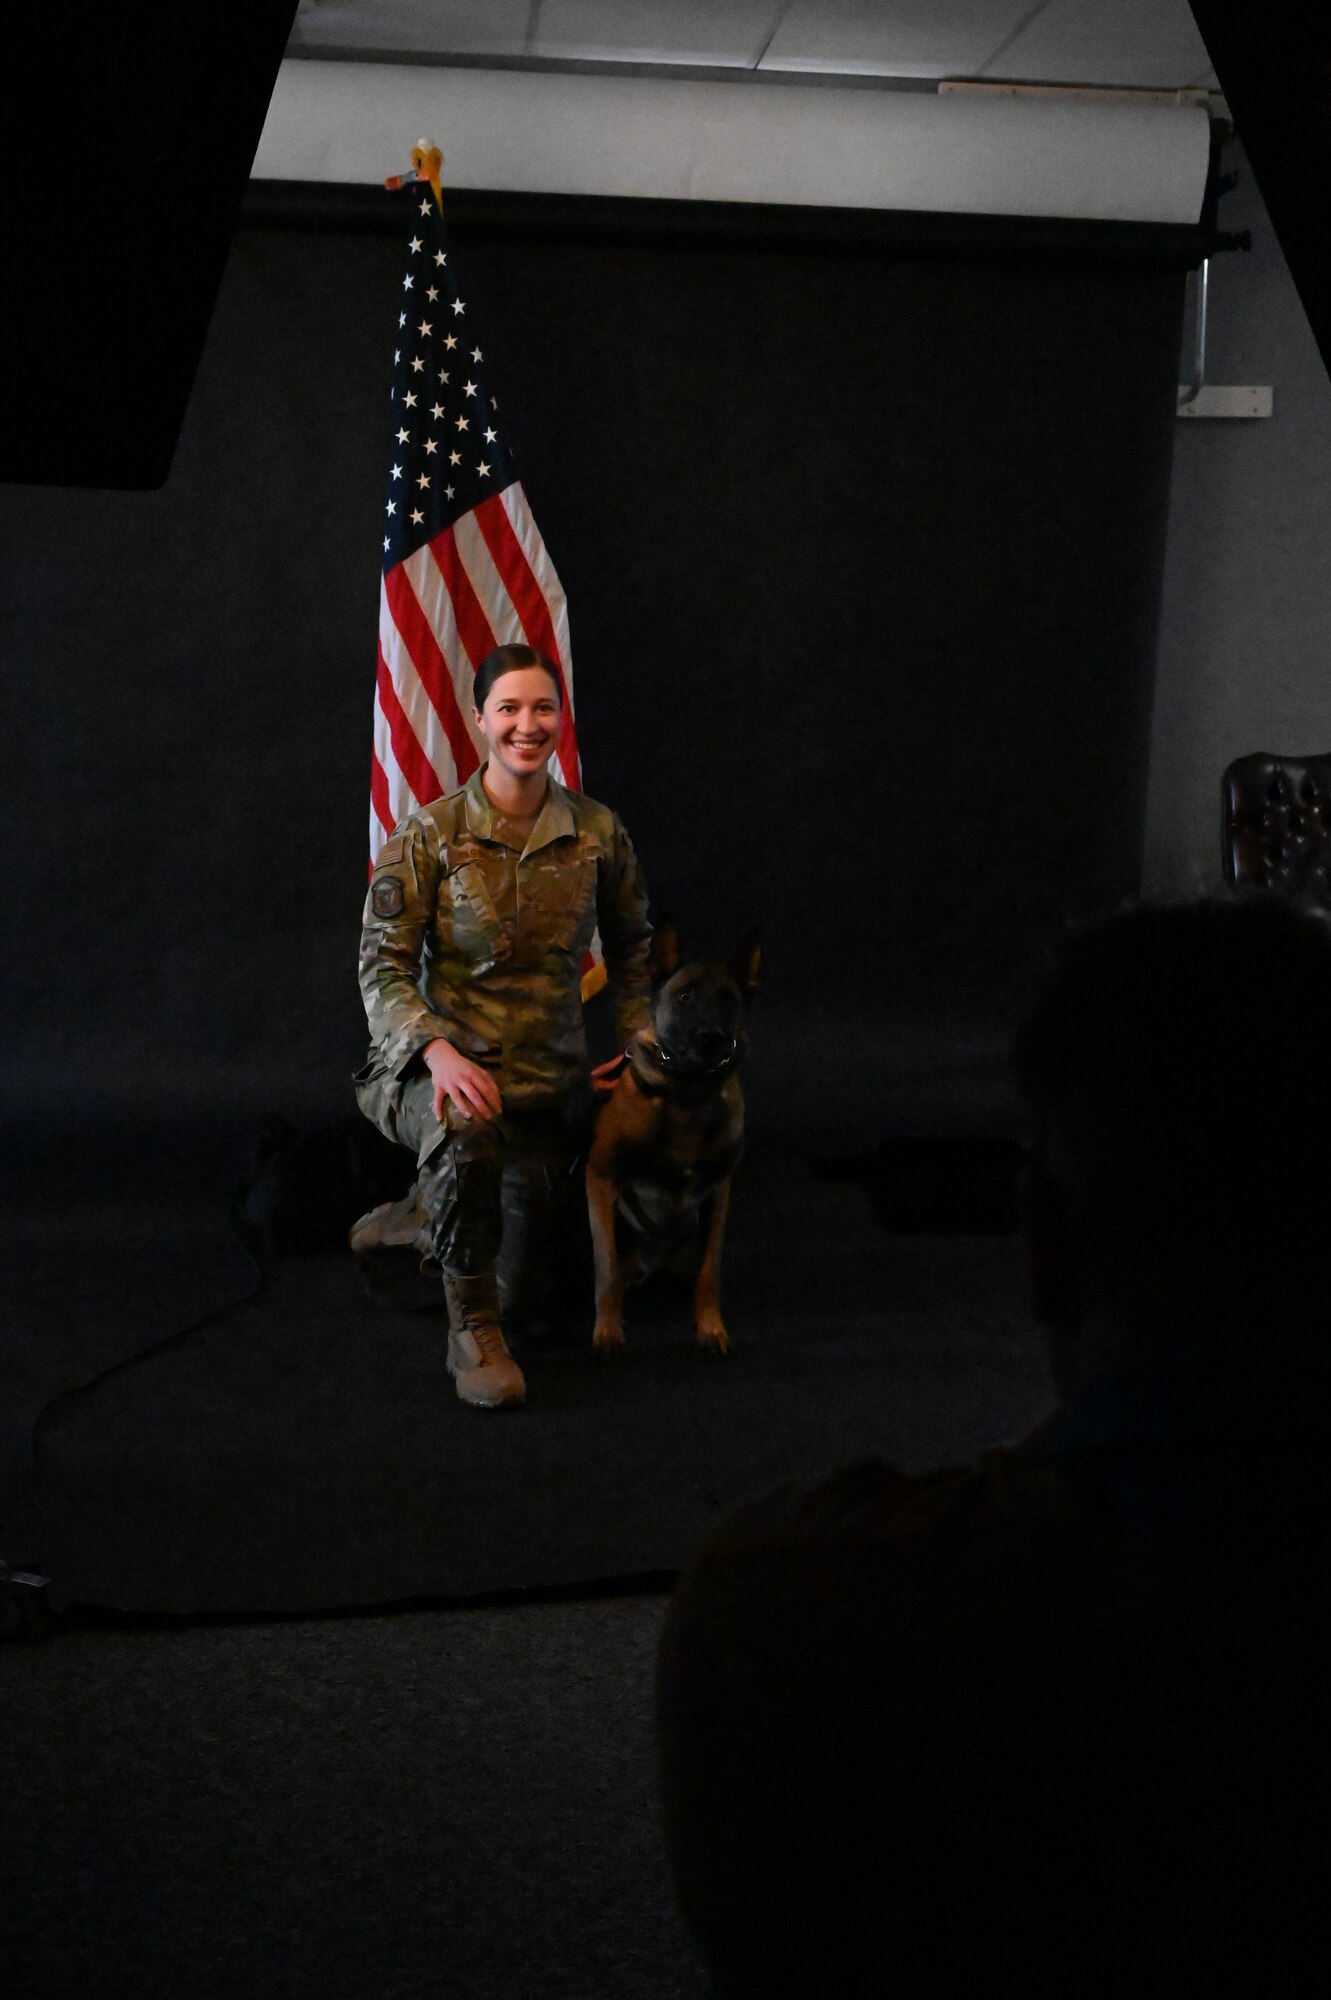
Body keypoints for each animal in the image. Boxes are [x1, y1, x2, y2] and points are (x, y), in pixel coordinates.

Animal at [583, 920, 755, 1360]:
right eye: (685, 996)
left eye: (728, 999)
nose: (711, 1038)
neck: (688, 1095)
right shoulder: (601, 1177)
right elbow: (606, 1269)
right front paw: (608, 1330)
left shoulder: (718, 1192)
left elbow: (710, 1270)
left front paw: (711, 1327)